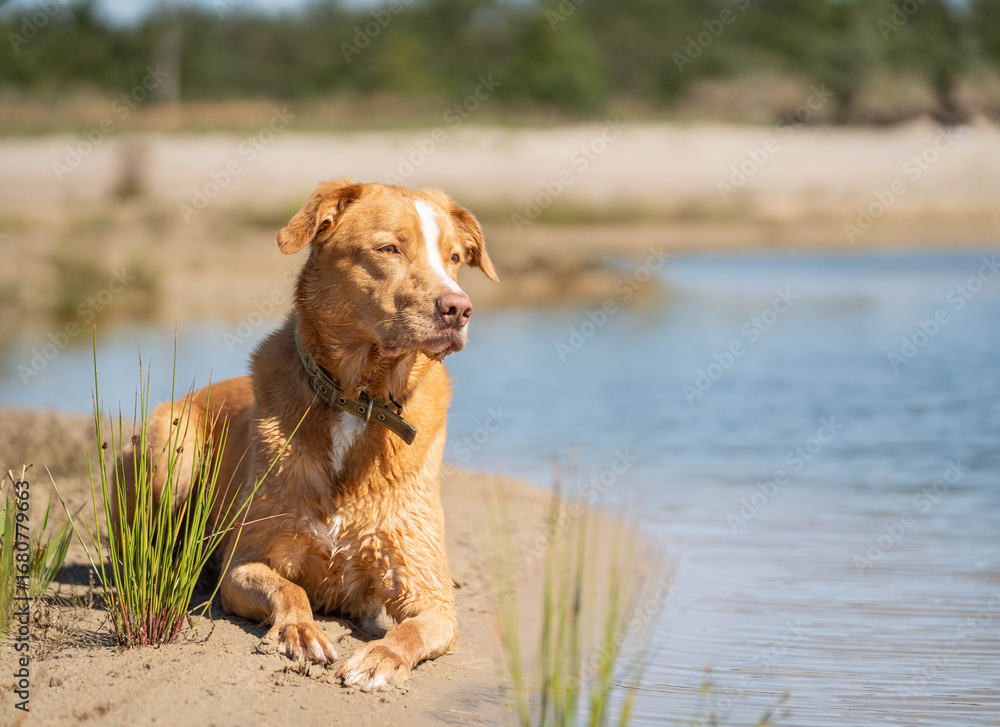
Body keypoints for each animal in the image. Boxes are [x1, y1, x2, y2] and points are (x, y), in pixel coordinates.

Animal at [115, 178, 497, 690]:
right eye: (389, 249)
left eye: (454, 257)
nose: (459, 309)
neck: (359, 399)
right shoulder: (244, 561)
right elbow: (289, 588)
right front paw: (300, 631)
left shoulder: (432, 595)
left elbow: (412, 630)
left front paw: (380, 657)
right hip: (171, 455)